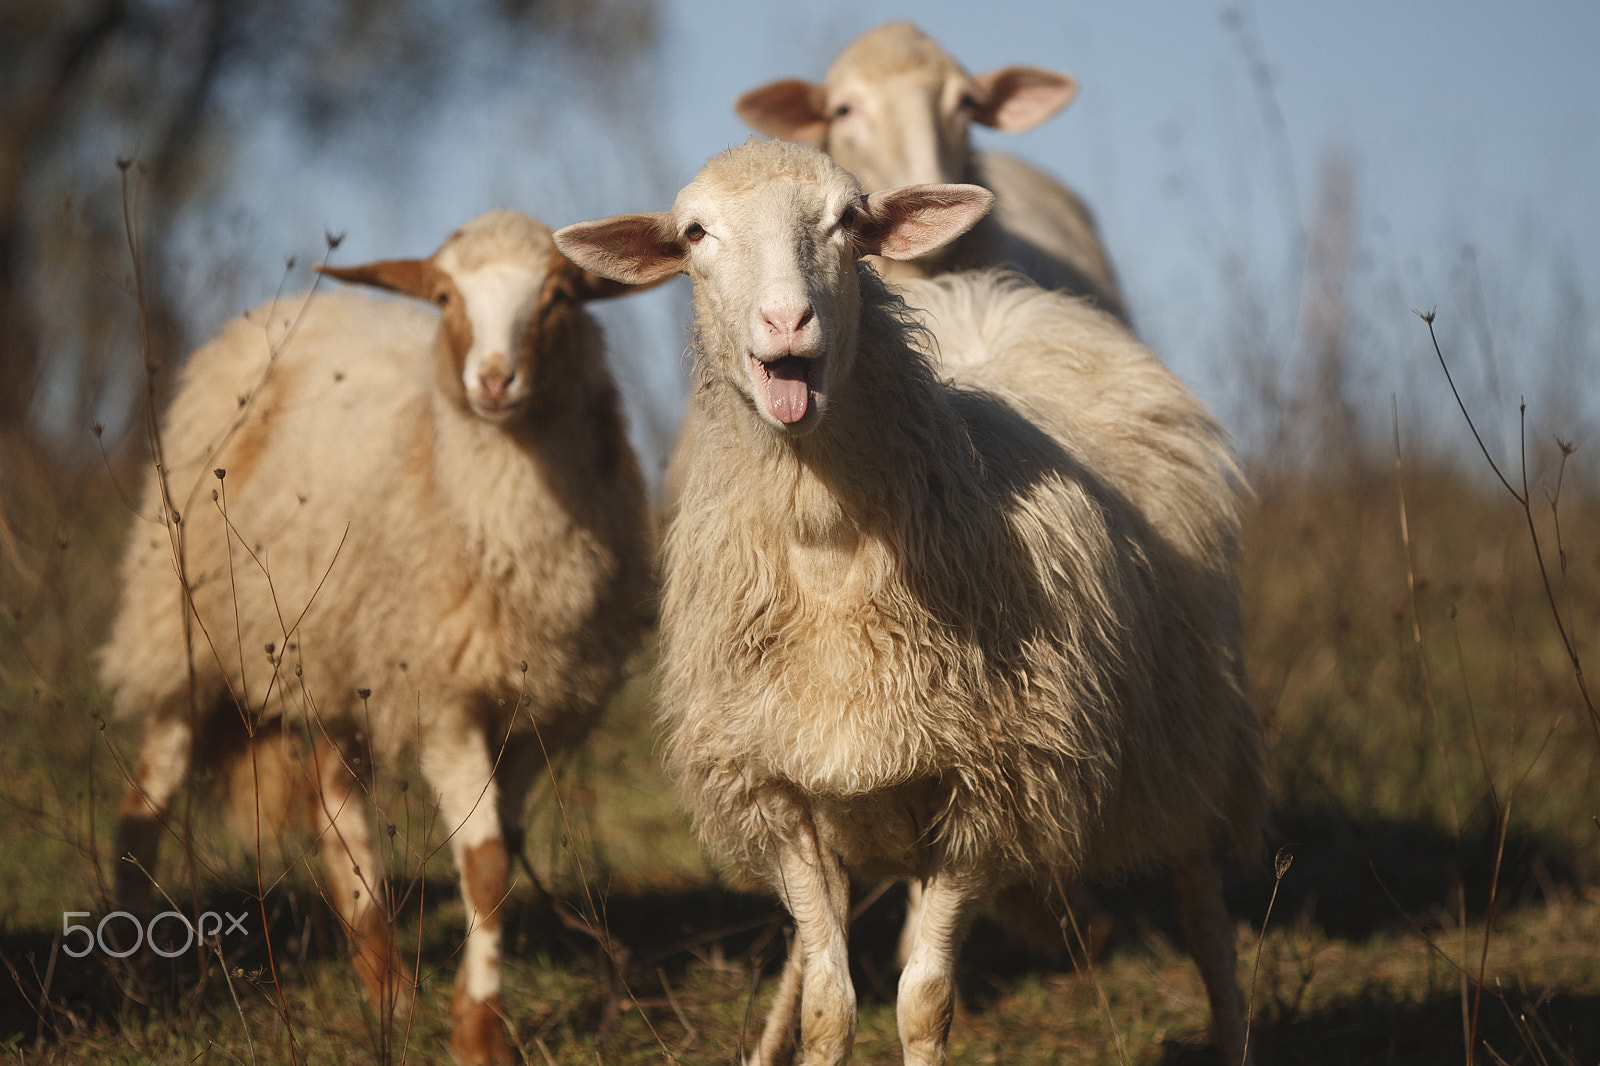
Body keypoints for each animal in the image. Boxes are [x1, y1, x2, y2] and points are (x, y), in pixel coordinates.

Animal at [99, 209, 655, 1066]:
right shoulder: (445, 696)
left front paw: (469, 1011)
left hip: (336, 654)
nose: (495, 381)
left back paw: (383, 977)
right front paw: (478, 1033)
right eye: (443, 296)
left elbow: (500, 849)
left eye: (561, 295)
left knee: (332, 796)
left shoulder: (536, 713)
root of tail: (287, 311)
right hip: (189, 635)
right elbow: (487, 863)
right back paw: (133, 978)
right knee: (149, 793)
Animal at [554, 139, 1265, 1066]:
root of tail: (996, 303)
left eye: (849, 220)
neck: (828, 551)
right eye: (695, 233)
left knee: (1200, 905)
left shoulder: (988, 785)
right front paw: (805, 1031)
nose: (787, 322)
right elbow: (829, 1002)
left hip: (1191, 722)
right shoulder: (779, 787)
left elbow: (925, 1004)